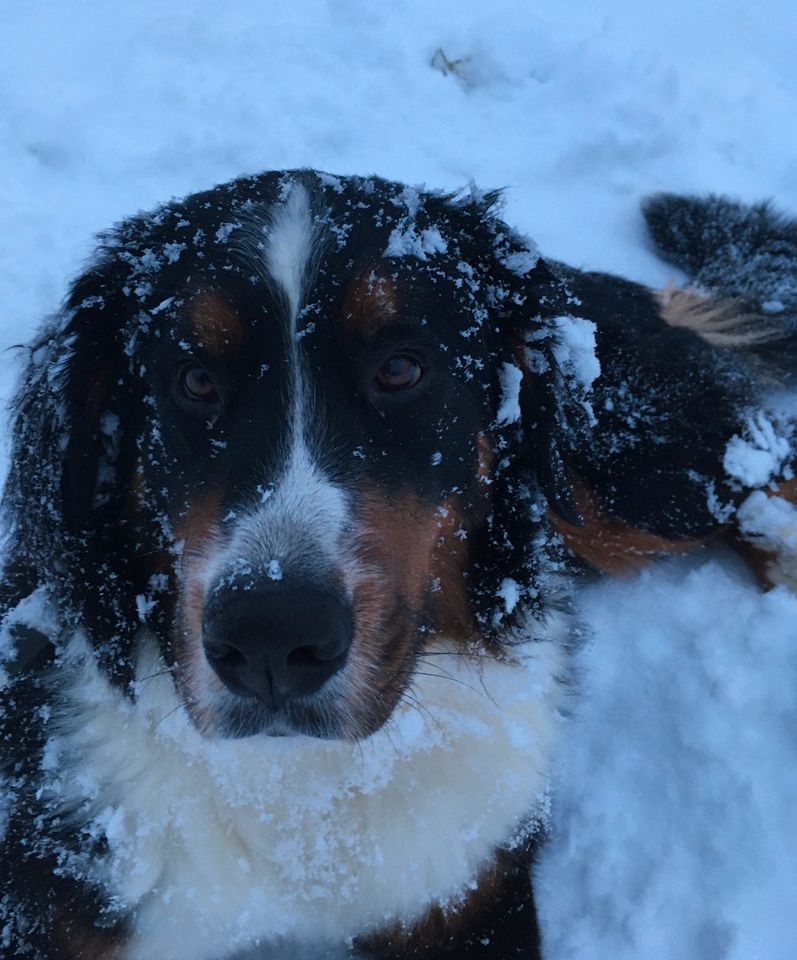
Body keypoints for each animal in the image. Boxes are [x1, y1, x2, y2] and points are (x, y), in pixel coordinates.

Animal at [0, 169, 792, 956]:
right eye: (194, 380)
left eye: (402, 369)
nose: (270, 638)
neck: (303, 804)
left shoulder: (468, 896)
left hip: (633, 478)